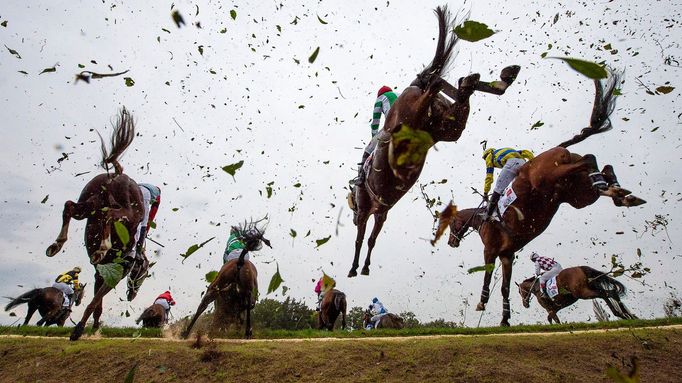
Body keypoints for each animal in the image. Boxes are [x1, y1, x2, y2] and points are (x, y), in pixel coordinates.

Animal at [45, 106, 147, 340]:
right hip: (123, 212)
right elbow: (95, 302)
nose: (133, 295)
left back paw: (56, 245)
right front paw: (81, 329)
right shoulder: (113, 275)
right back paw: (101, 247)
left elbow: (96, 304)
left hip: (89, 203)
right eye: (144, 274)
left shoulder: (101, 274)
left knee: (70, 206)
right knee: (109, 214)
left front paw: (91, 327)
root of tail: (118, 174)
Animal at [348, 4, 516, 278]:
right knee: (458, 92)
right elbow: (371, 239)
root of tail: (414, 86)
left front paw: (356, 267)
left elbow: (362, 239)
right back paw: (493, 80)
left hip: (414, 117)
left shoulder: (368, 211)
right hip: (447, 128)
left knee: (435, 85)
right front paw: (363, 266)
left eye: (352, 206)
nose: (351, 216)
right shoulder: (382, 212)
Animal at [444, 69, 644, 328]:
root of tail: (558, 148)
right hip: (577, 195)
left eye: (452, 223)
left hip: (552, 176)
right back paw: (620, 193)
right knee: (600, 169)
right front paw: (505, 319)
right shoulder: (507, 255)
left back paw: (616, 191)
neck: (481, 221)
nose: (451, 242)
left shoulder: (491, 250)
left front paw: (482, 302)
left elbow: (488, 276)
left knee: (589, 158)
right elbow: (505, 288)